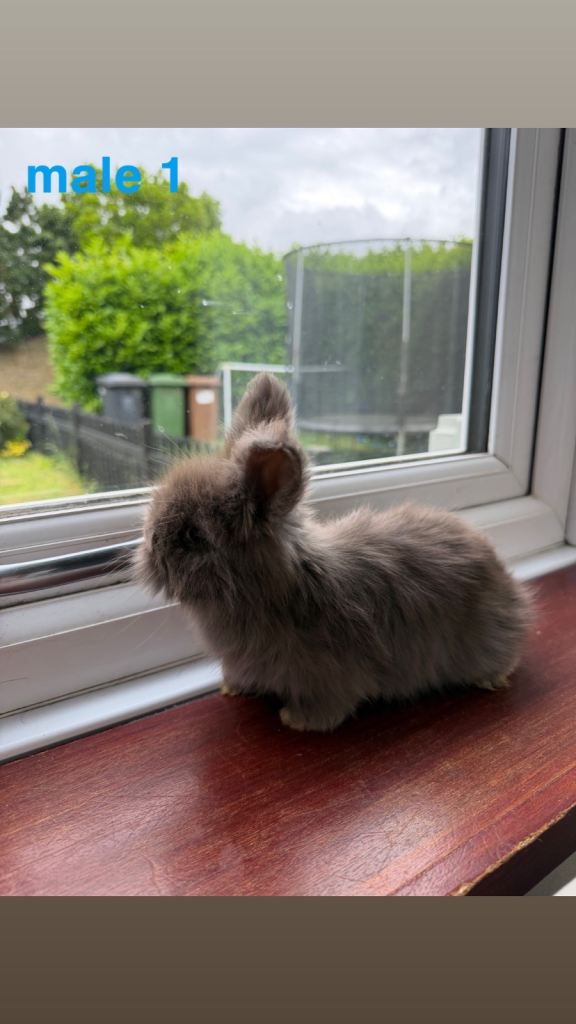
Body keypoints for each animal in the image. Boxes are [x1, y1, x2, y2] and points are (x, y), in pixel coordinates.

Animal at [136, 372, 533, 732]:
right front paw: (232, 688)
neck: (275, 591)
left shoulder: (330, 675)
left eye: (192, 535)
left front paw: (295, 720)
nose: (150, 548)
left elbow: (327, 706)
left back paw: (491, 679)